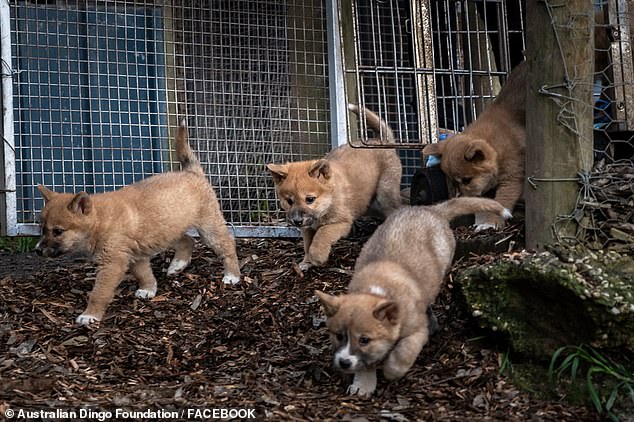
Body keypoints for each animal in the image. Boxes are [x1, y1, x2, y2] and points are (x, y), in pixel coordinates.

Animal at [36, 120, 239, 324]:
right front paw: (148, 290)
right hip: (167, 229)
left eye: (58, 231)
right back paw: (177, 265)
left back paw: (232, 276)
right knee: (188, 241)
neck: (101, 220)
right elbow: (144, 275)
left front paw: (90, 315)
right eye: (42, 228)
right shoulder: (135, 256)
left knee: (227, 245)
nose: (37, 250)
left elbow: (99, 293)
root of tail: (192, 172)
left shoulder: (112, 264)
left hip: (208, 228)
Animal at [266, 104, 400, 272]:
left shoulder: (340, 223)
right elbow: (307, 244)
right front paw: (306, 262)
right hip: (369, 204)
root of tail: (382, 141)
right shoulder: (308, 229)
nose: (297, 221)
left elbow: (321, 234)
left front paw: (317, 257)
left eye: (310, 199)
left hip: (384, 195)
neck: (329, 198)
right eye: (289, 201)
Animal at [314, 197, 512, 396]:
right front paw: (363, 385)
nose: (343, 363)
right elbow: (367, 362)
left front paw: (391, 371)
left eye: (364, 340)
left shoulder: (416, 332)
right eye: (339, 336)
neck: (376, 290)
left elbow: (402, 354)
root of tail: (432, 209)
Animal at [422, 61, 524, 229]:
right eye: (452, 182)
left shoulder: (512, 177)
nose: (461, 199)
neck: (497, 151)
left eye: (466, 180)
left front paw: (490, 222)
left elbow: (501, 200)